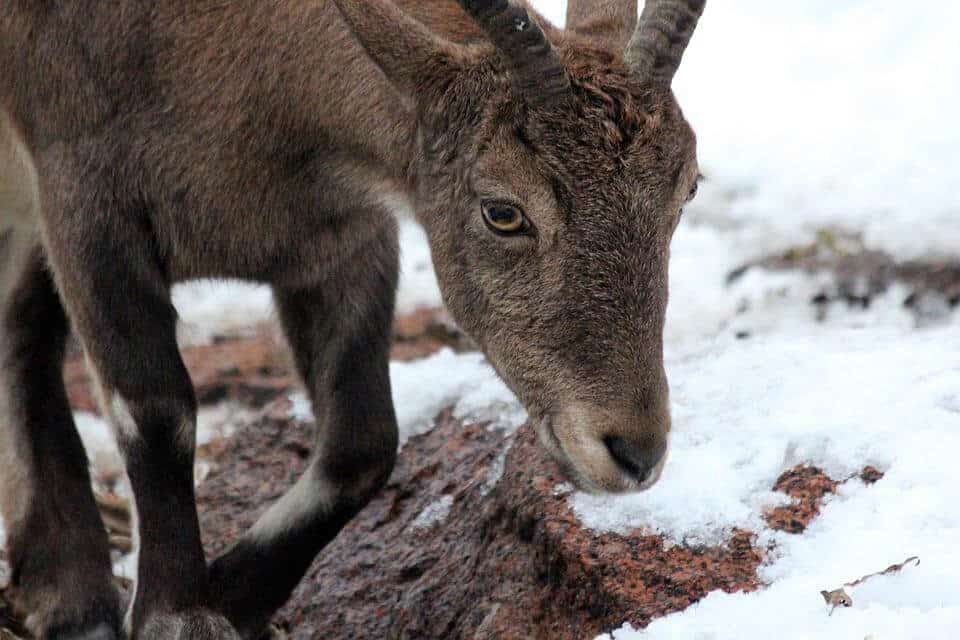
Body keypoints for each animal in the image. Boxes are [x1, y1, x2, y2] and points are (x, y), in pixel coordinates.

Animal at [0, 0, 705, 638]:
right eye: (502, 211)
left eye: (688, 189)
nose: (636, 454)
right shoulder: (83, 201)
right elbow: (156, 413)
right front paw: (178, 616)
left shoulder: (342, 238)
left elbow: (362, 441)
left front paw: (231, 595)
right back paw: (74, 593)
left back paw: (57, 578)